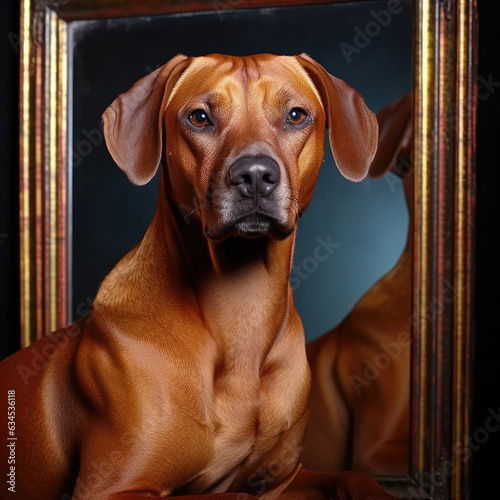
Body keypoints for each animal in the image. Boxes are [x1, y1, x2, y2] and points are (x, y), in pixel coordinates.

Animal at [0, 52, 378, 498]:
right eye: (199, 118)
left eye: (296, 115)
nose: (255, 175)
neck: (242, 308)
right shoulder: (111, 487)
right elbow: (231, 495)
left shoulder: (284, 478)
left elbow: (355, 475)